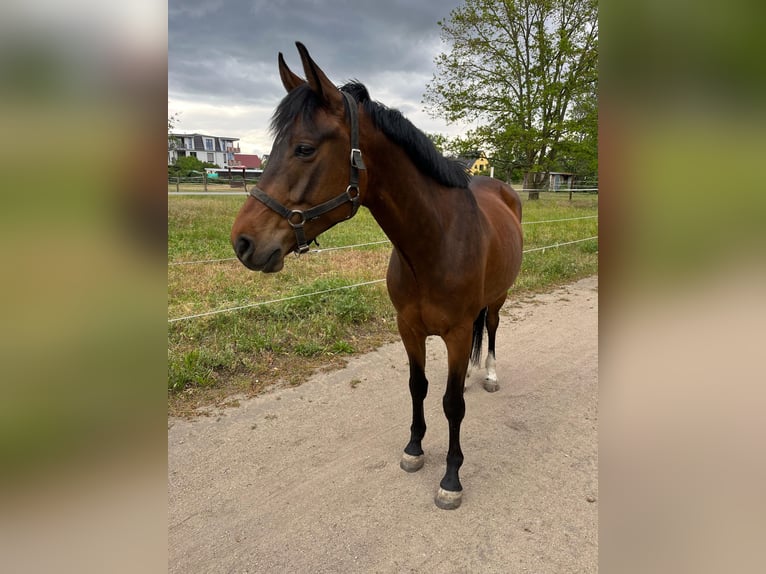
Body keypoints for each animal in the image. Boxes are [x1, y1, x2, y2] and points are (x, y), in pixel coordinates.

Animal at [231, 43, 523, 510]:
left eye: (304, 149)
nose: (242, 242)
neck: (434, 243)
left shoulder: (458, 334)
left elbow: (452, 403)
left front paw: (451, 478)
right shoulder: (408, 328)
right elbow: (418, 387)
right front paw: (414, 449)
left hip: (497, 298)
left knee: (492, 328)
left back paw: (491, 375)